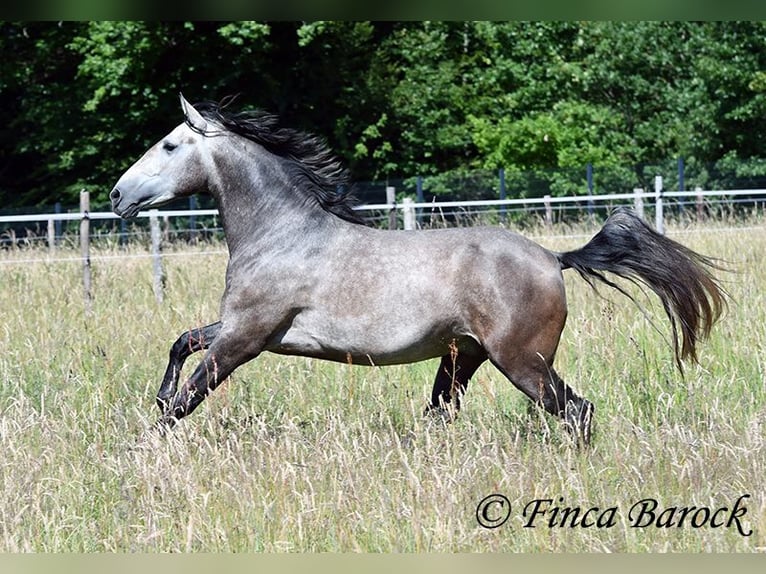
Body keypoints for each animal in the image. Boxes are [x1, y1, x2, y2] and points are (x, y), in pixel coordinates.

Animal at [110, 95, 726, 445]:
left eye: (169, 145)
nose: (118, 196)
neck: (282, 234)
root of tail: (554, 258)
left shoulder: (247, 336)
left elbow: (192, 394)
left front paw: (145, 443)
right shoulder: (244, 328)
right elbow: (181, 343)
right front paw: (156, 401)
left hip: (522, 363)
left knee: (577, 412)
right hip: (463, 358)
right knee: (442, 415)